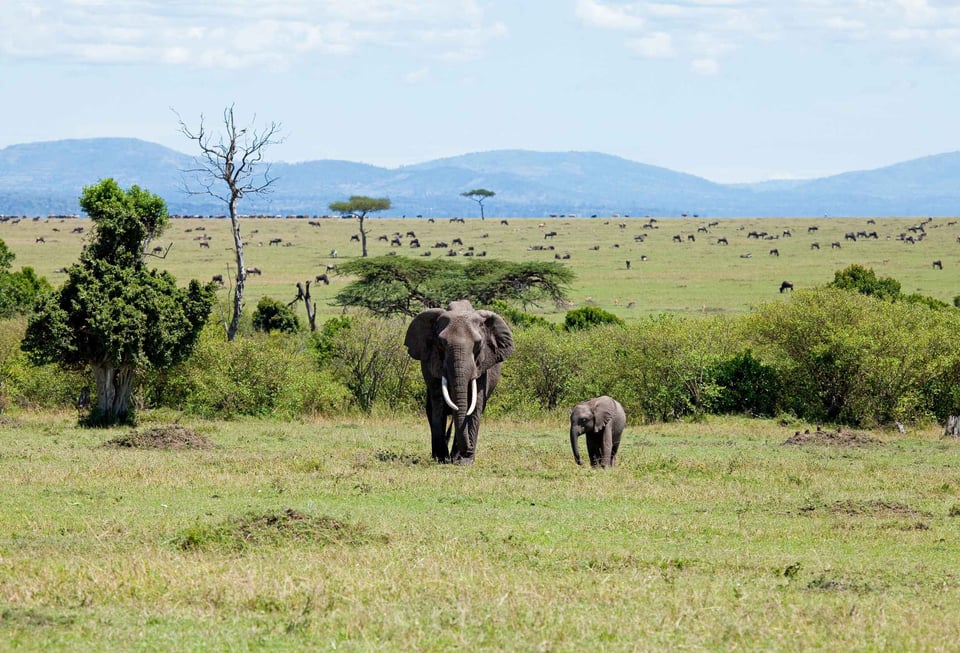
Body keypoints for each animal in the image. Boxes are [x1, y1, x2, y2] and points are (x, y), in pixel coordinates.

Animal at [405, 300, 515, 464]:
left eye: (478, 344)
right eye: (441, 343)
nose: (465, 451)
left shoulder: (481, 367)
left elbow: (474, 406)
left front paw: (464, 461)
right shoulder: (433, 363)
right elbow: (439, 405)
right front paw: (441, 458)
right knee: (431, 408)